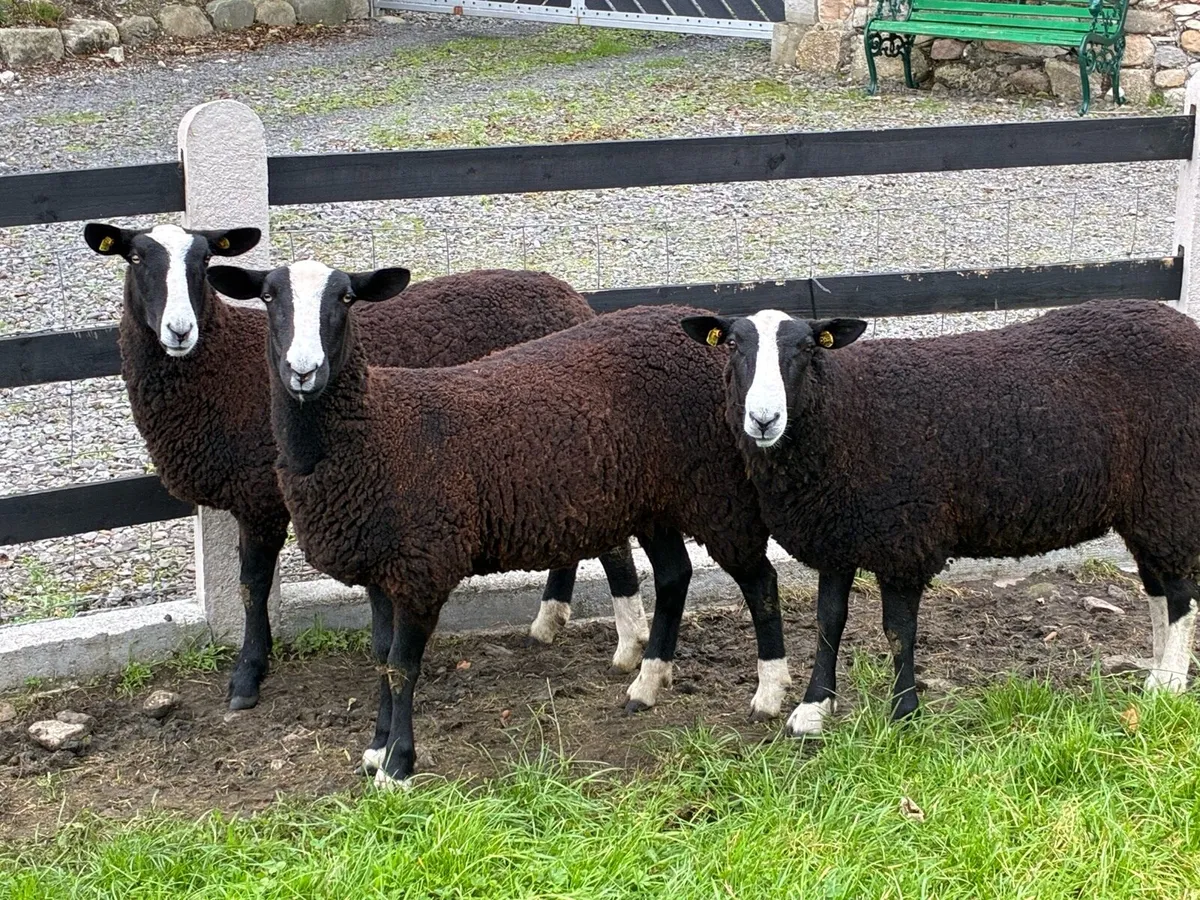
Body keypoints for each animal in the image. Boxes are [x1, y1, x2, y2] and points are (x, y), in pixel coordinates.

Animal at [82, 222, 646, 713]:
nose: (180, 330)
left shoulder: (261, 498)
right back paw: (548, 622)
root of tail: (570, 296)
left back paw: (628, 647)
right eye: (135, 259)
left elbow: (253, 585)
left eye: (203, 261)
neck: (220, 363)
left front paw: (247, 676)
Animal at [205, 259, 789, 786]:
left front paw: (397, 766)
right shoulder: (382, 566)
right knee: (674, 576)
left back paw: (769, 693)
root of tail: (702, 330)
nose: (303, 371)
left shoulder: (422, 565)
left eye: (346, 299)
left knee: (760, 581)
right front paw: (375, 748)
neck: (375, 429)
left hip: (717, 489)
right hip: (654, 499)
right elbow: (380, 659)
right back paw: (646, 684)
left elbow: (402, 665)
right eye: (268, 298)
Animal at [682, 300, 1200, 736]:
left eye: (808, 348)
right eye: (732, 345)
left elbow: (898, 630)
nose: (763, 419)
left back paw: (1170, 684)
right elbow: (829, 622)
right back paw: (1157, 671)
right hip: (1145, 507)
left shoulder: (905, 536)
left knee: (1181, 595)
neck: (844, 411)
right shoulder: (837, 535)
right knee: (1157, 589)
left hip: (1172, 490)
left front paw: (903, 713)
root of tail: (1184, 326)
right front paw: (813, 709)